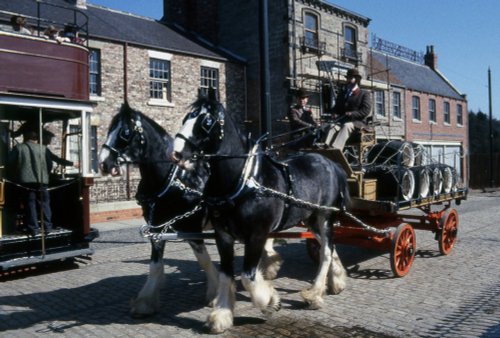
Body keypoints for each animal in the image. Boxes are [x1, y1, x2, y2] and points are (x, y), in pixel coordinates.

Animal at [98, 102, 218, 316]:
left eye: (125, 132)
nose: (103, 163)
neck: (174, 179)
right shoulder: (157, 228)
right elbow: (155, 265)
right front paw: (145, 302)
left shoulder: (192, 227)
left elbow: (203, 260)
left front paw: (214, 294)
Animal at [170, 92, 350, 332]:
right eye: (184, 118)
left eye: (206, 121)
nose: (176, 153)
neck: (243, 180)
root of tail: (331, 163)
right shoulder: (223, 236)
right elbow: (226, 274)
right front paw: (222, 315)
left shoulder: (257, 234)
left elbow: (248, 276)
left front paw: (271, 301)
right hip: (311, 219)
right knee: (328, 246)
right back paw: (337, 281)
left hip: (325, 217)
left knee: (326, 252)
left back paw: (314, 294)